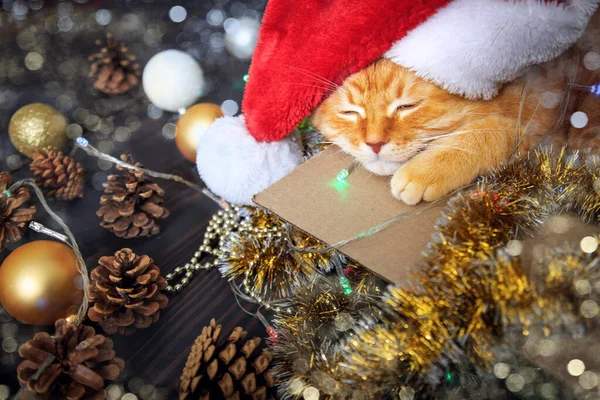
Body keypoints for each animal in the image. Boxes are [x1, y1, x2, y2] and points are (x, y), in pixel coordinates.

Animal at [314, 52, 600, 206]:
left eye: (407, 106)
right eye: (349, 112)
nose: (374, 144)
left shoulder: (538, 117)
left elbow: (487, 132)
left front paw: (426, 170)